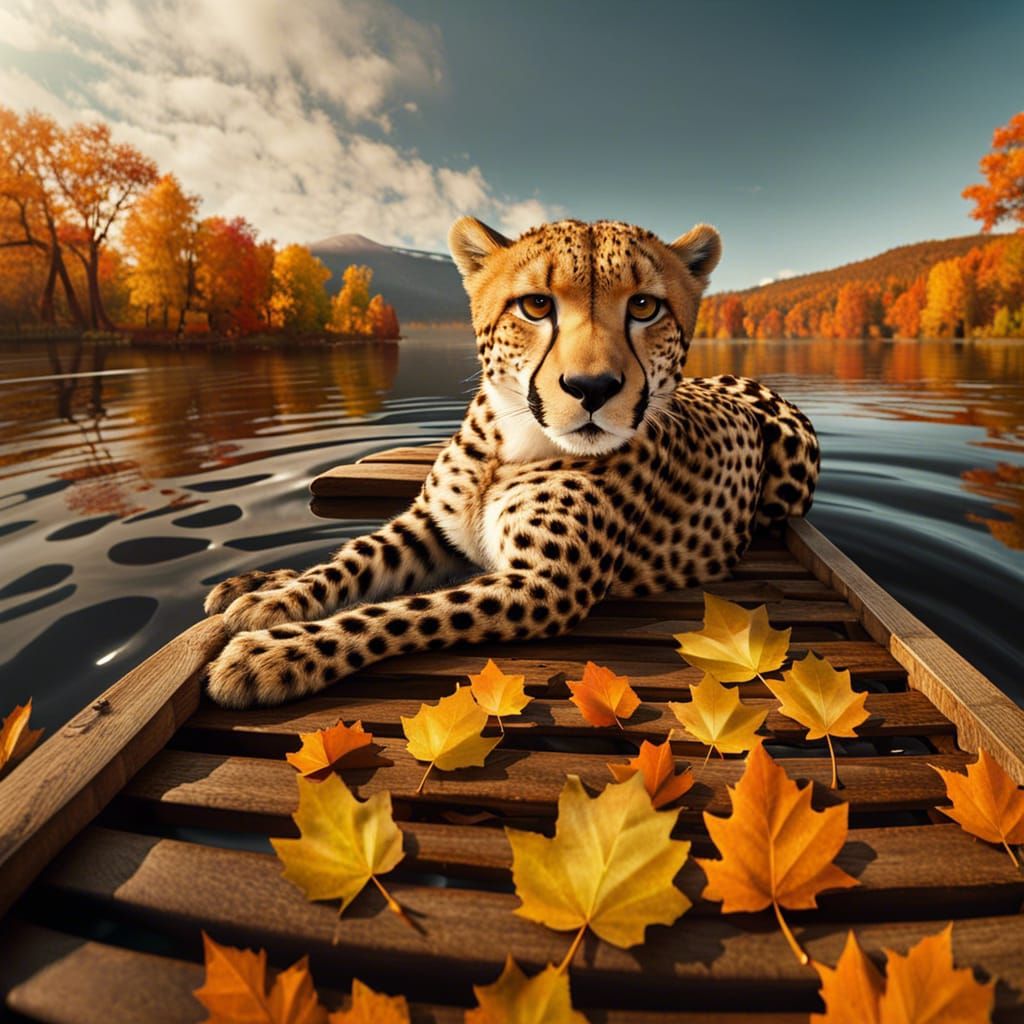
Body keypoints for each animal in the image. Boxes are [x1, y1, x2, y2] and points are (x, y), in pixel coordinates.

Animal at [204, 216, 820, 708]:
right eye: (537, 305)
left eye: (644, 306)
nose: (592, 388)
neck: (510, 444)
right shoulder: (430, 526)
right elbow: (351, 560)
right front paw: (276, 599)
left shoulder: (546, 584)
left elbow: (402, 612)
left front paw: (275, 656)